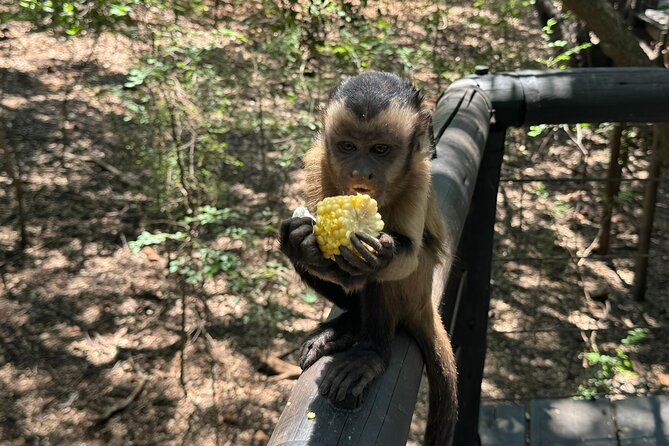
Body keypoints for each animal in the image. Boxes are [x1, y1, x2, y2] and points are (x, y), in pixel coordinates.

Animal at [280, 71, 457, 446]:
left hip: (416, 289)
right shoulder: (317, 160)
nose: (361, 173)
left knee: (389, 279)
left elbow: (407, 254)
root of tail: (424, 305)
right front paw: (301, 244)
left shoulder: (420, 175)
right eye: (348, 147)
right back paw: (347, 327)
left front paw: (380, 256)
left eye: (379, 150)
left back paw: (371, 353)